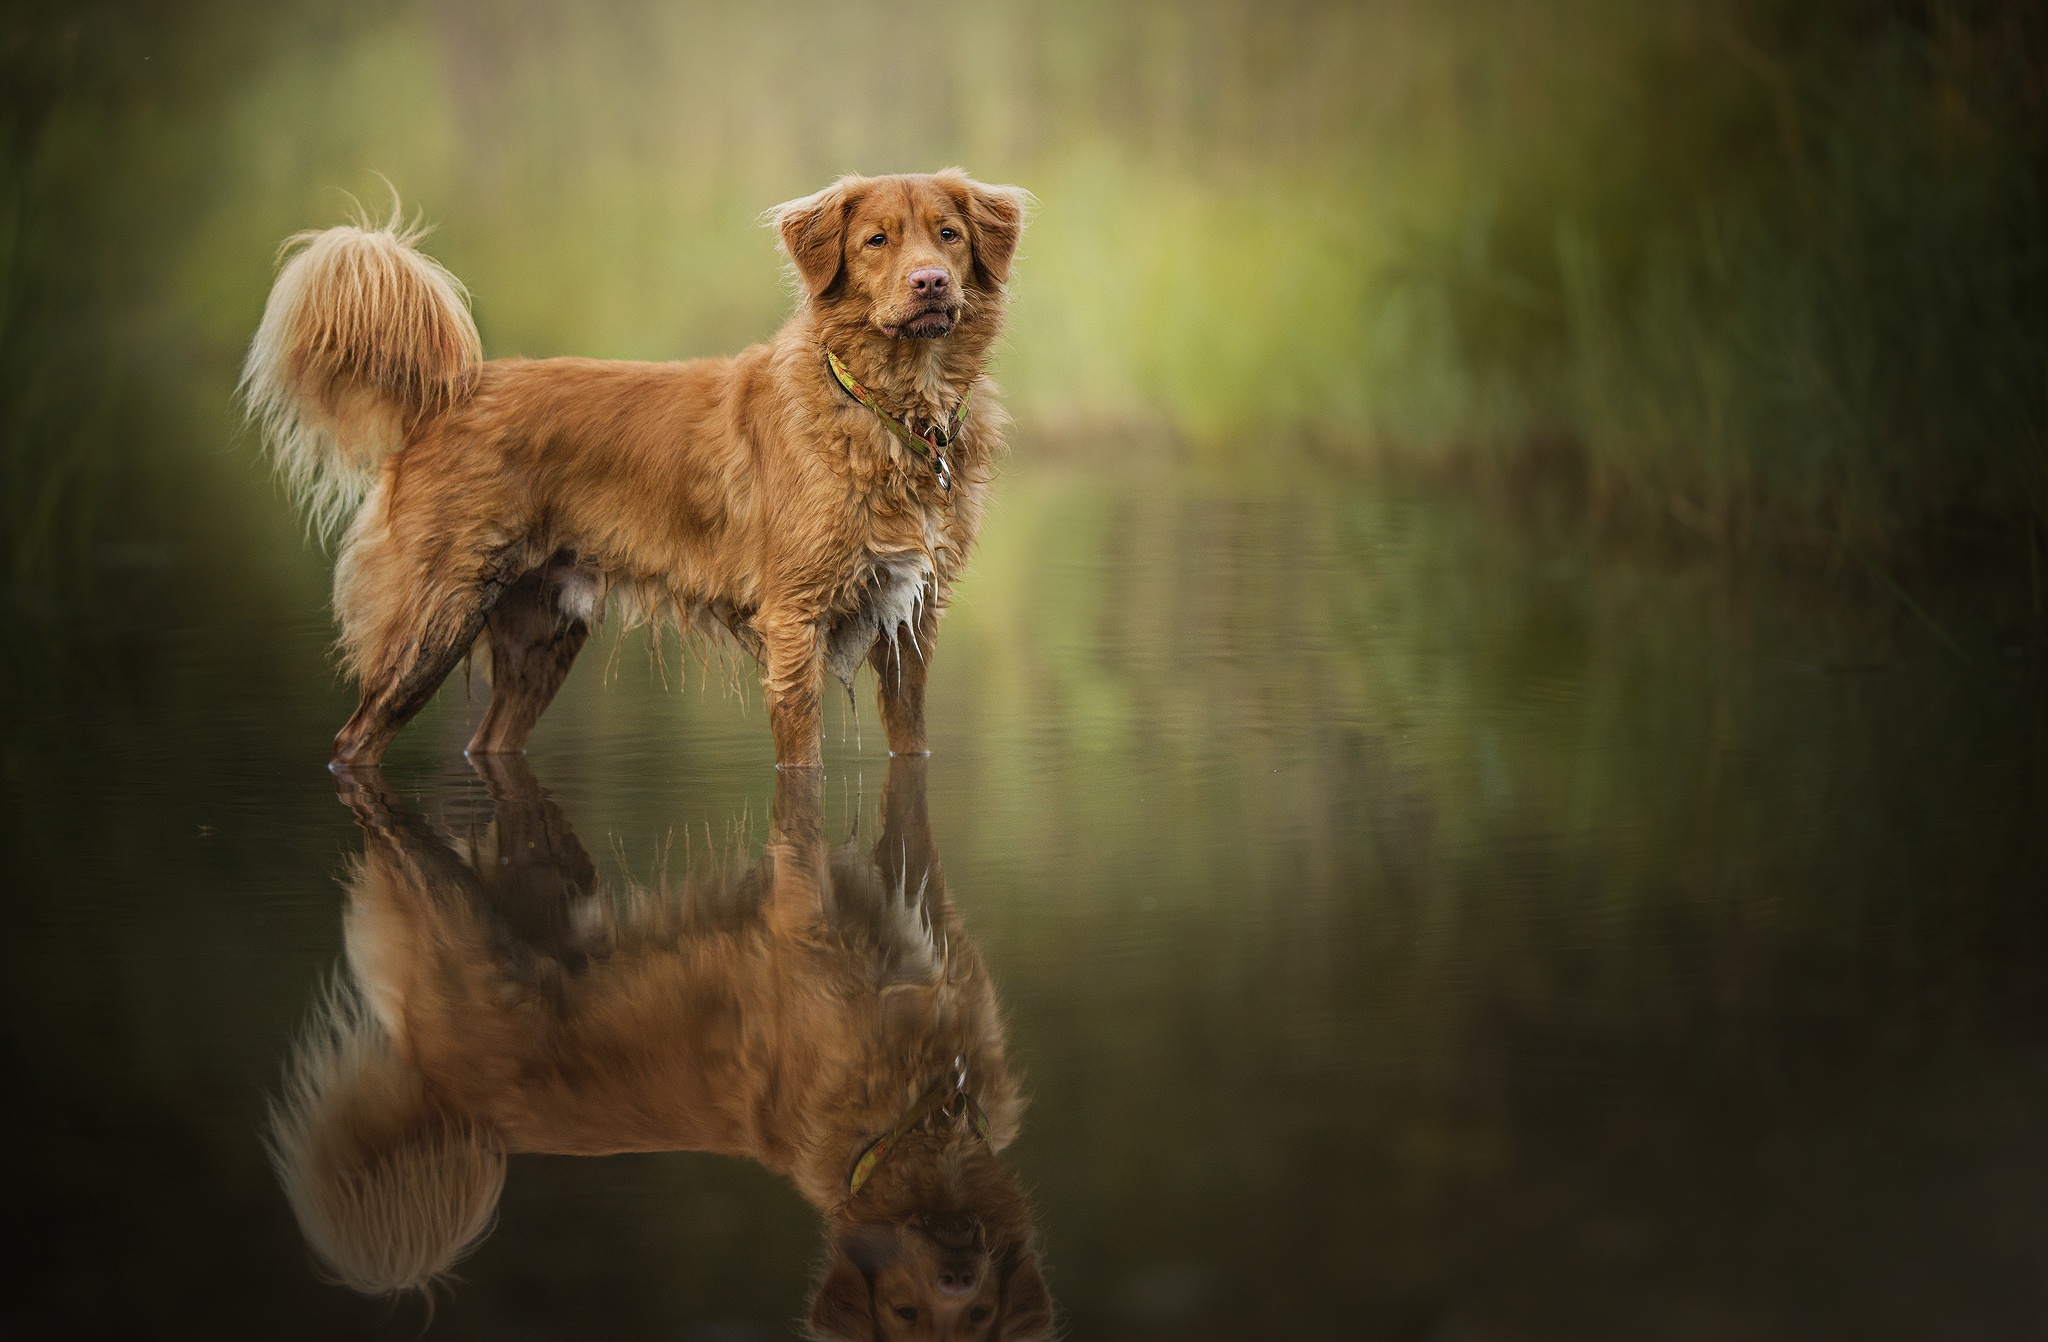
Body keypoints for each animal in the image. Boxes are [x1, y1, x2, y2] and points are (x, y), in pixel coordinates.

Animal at [239, 173, 1024, 770]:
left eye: (948, 235)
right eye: (875, 241)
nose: (930, 282)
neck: (891, 412)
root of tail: (448, 396)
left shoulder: (911, 622)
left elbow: (911, 748)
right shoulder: (794, 623)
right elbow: (803, 768)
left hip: (541, 634)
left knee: (488, 744)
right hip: (433, 616)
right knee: (353, 742)